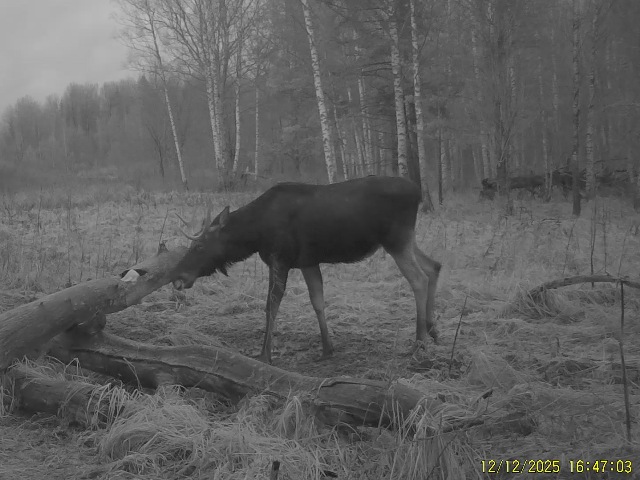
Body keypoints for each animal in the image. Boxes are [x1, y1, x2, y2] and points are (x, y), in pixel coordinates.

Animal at [172, 176, 441, 364]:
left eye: (198, 246)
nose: (178, 278)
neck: (255, 234)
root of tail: (418, 194)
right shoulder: (308, 261)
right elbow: (317, 301)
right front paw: (327, 349)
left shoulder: (280, 259)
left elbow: (271, 305)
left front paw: (265, 355)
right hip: (405, 239)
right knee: (434, 266)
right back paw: (433, 330)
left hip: (396, 239)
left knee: (419, 278)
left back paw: (420, 341)